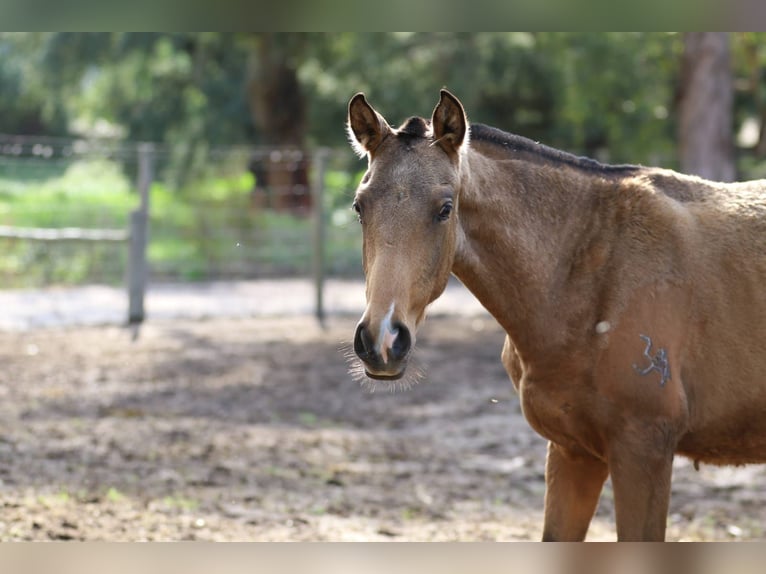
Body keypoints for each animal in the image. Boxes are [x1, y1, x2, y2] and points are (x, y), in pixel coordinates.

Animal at [346, 88, 766, 544]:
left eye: (444, 208)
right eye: (359, 207)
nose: (382, 341)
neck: (589, 275)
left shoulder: (644, 452)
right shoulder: (573, 452)